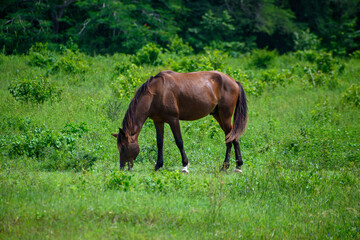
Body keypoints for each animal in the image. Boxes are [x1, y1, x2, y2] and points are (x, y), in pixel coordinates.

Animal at [112, 70, 248, 173]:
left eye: (123, 147)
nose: (122, 168)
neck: (156, 94)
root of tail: (234, 82)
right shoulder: (158, 121)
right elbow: (159, 143)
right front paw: (158, 165)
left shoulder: (173, 120)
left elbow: (179, 141)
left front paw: (184, 166)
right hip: (218, 115)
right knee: (233, 137)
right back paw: (238, 166)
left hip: (225, 116)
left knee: (229, 139)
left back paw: (225, 167)